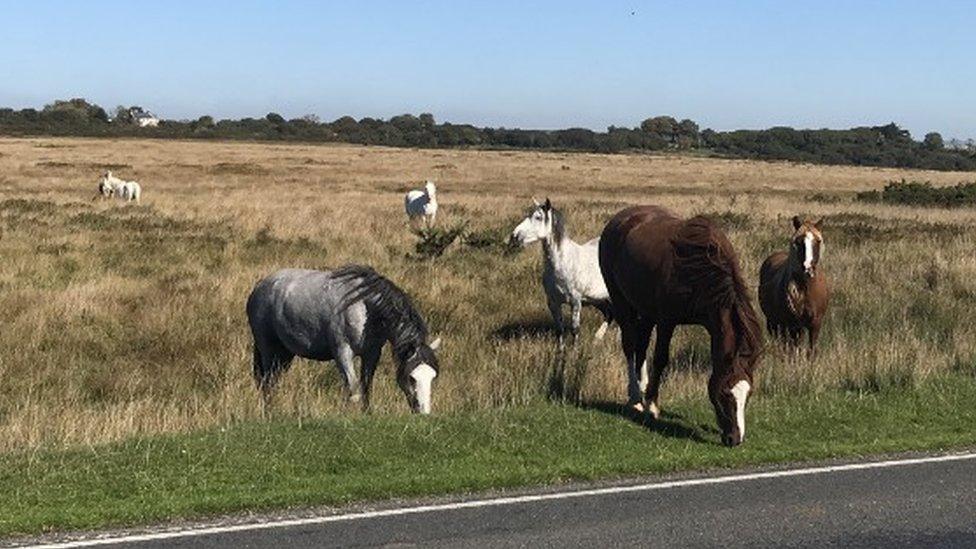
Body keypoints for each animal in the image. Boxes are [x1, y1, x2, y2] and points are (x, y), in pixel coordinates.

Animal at [508, 199, 612, 340]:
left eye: (538, 217)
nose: (514, 236)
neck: (562, 264)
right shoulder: (553, 303)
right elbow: (559, 330)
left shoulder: (575, 302)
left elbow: (575, 330)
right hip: (597, 299)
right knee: (609, 313)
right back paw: (598, 337)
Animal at [600, 206, 768, 446]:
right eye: (725, 393)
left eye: (749, 394)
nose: (735, 439)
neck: (700, 272)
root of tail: (621, 218)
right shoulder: (667, 321)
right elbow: (661, 359)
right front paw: (652, 405)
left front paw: (650, 398)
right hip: (622, 302)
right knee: (630, 346)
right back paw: (635, 396)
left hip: (646, 312)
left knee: (641, 347)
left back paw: (642, 389)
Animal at [760, 216, 828, 354]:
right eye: (798, 242)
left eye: (818, 241)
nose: (808, 268)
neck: (807, 289)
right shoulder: (794, 325)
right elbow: (794, 348)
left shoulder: (815, 324)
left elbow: (811, 350)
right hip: (774, 322)